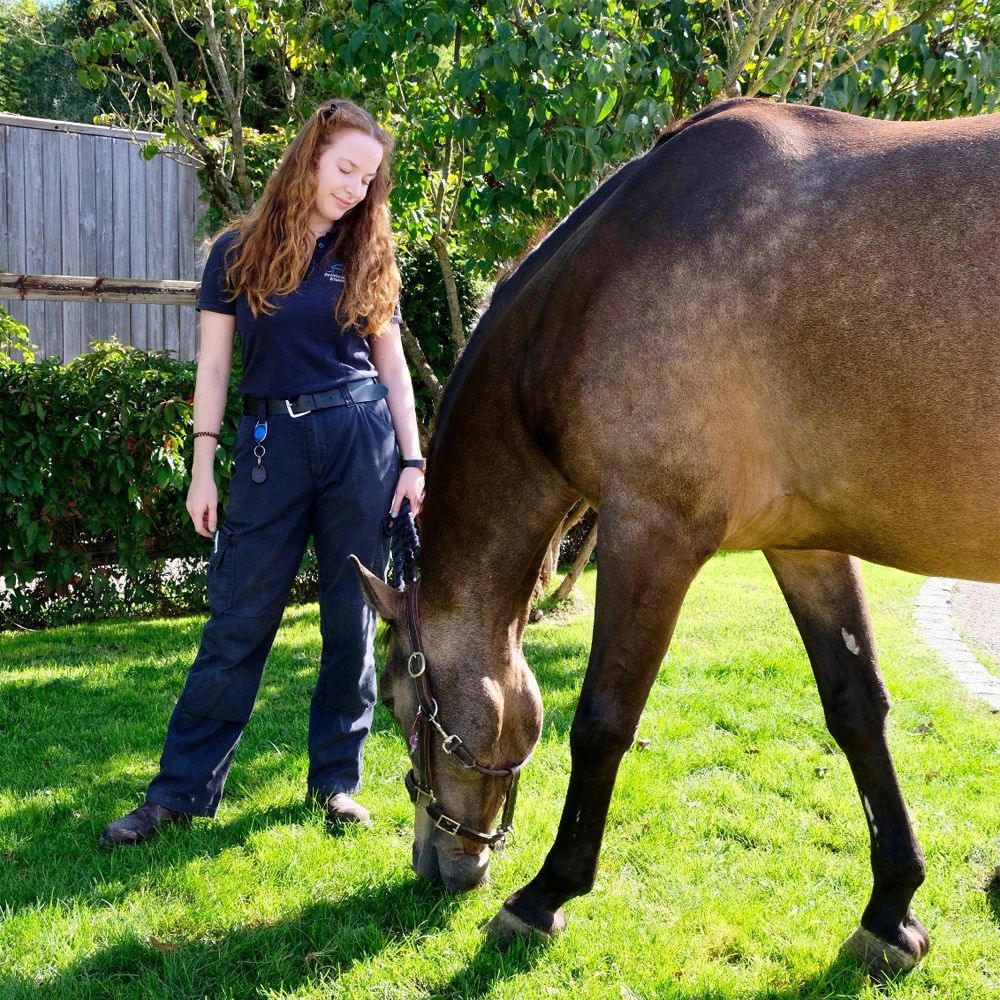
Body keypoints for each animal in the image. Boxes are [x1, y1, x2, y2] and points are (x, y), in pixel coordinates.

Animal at [356, 99, 996, 976]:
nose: (434, 864)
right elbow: (857, 709)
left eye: (397, 703)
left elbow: (601, 722)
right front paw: (891, 910)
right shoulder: (804, 546)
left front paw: (544, 896)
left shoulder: (650, 535)